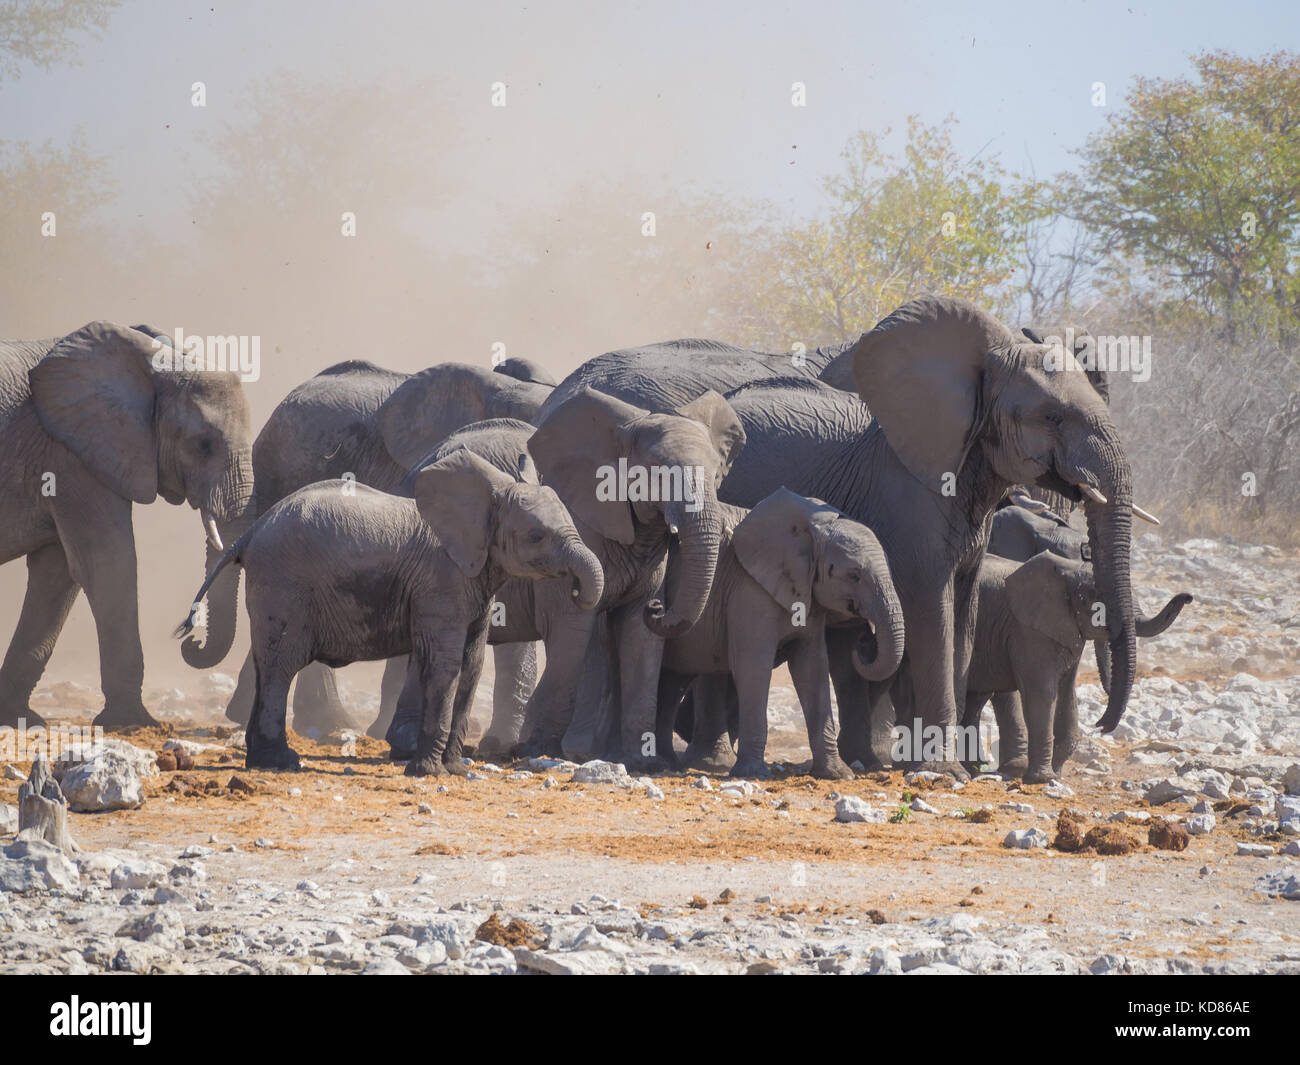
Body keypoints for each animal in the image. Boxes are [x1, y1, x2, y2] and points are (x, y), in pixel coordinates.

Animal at [0, 321, 253, 728]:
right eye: (203, 445)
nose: (188, 638)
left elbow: (57, 574)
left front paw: (20, 718)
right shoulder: (71, 455)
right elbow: (107, 564)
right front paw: (134, 722)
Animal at [178, 449, 603, 775]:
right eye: (536, 536)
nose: (577, 589)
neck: (485, 499)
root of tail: (252, 533)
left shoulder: (475, 582)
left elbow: (473, 664)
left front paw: (456, 770)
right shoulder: (441, 582)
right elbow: (445, 664)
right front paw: (428, 772)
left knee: (268, 665)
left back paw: (262, 762)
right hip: (283, 583)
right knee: (281, 665)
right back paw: (281, 763)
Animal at [650, 486, 904, 780]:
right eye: (854, 575)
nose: (864, 640)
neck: (812, 530)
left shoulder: (807, 596)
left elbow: (812, 667)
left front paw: (838, 774)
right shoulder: (750, 588)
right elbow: (753, 666)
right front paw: (753, 774)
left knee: (672, 682)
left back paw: (667, 763)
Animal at [961, 553, 1190, 785]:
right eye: (1095, 599)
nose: (1187, 596)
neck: (1068, 570)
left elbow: (1068, 694)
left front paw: (1056, 775)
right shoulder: (1027, 629)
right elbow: (1042, 692)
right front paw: (1043, 779)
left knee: (975, 700)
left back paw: (975, 769)